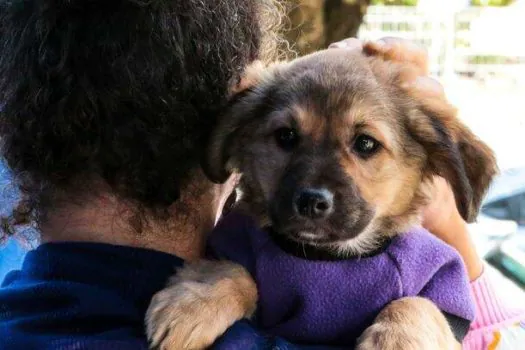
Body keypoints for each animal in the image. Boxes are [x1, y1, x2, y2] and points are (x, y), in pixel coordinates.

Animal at [144, 45, 496, 348]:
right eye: (286, 136)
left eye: (366, 143)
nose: (312, 202)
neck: (325, 257)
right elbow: (233, 271)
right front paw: (194, 305)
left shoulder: (442, 285)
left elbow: (417, 303)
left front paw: (397, 340)